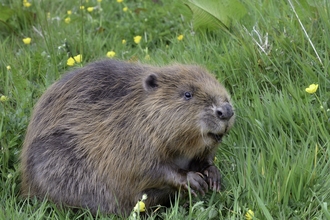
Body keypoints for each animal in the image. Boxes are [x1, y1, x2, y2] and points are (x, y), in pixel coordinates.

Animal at [20, 59, 235, 216]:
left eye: (216, 82)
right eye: (187, 94)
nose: (226, 111)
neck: (139, 110)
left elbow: (203, 158)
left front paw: (212, 175)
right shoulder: (128, 137)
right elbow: (146, 169)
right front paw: (194, 180)